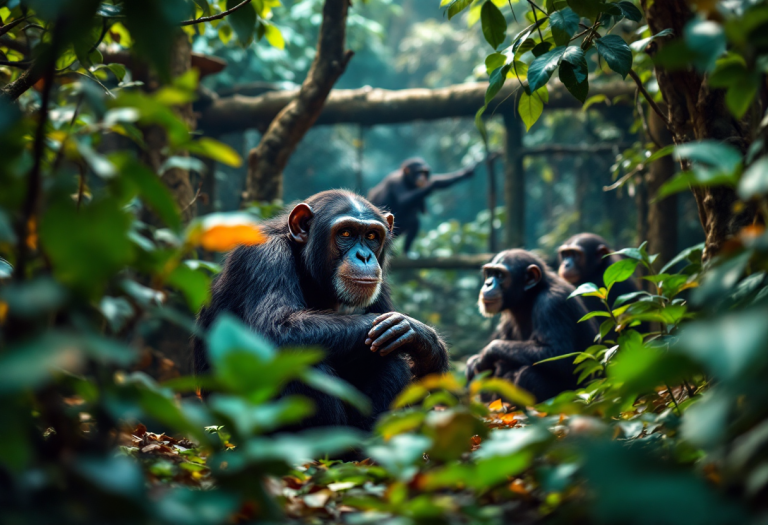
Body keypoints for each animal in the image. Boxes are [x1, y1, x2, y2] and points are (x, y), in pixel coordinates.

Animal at [194, 190, 450, 428]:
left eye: (371, 236)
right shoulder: (264, 256)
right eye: (345, 233)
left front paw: (424, 342)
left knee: (389, 358)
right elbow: (275, 328)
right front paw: (411, 327)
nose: (364, 256)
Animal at [462, 250, 600, 402]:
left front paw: (484, 356)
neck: (528, 298)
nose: (488, 283)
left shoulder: (551, 304)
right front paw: (473, 362)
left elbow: (559, 353)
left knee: (528, 374)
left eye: (500, 275)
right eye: (489, 273)